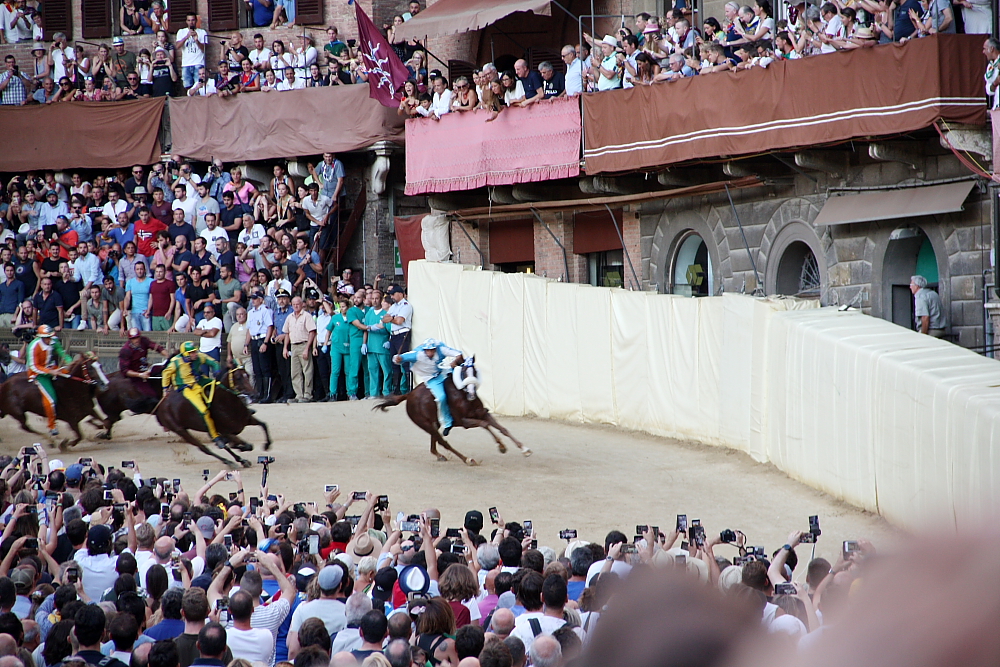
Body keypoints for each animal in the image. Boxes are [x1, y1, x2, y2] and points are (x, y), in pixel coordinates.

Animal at [376, 360, 532, 464]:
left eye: (475, 371)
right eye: (463, 373)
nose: (471, 393)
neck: (465, 397)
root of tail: (409, 394)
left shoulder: (482, 412)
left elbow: (501, 428)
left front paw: (524, 449)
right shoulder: (464, 421)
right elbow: (485, 424)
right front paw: (501, 446)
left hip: (434, 423)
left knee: (435, 442)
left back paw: (440, 456)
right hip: (424, 423)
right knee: (443, 442)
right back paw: (467, 459)